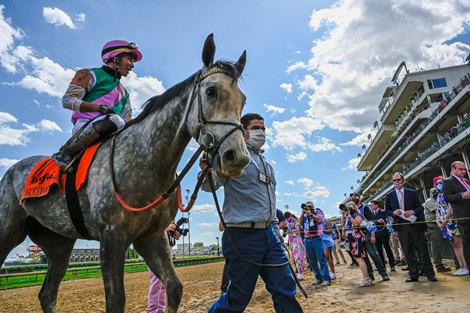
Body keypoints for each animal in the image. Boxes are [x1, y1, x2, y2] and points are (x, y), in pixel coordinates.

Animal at [0, 34, 250, 312]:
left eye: (242, 99)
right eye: (211, 91)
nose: (237, 157)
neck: (144, 163)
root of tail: (13, 169)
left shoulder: (151, 237)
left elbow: (174, 287)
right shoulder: (112, 237)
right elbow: (116, 300)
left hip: (58, 243)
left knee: (47, 294)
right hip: (7, 230)